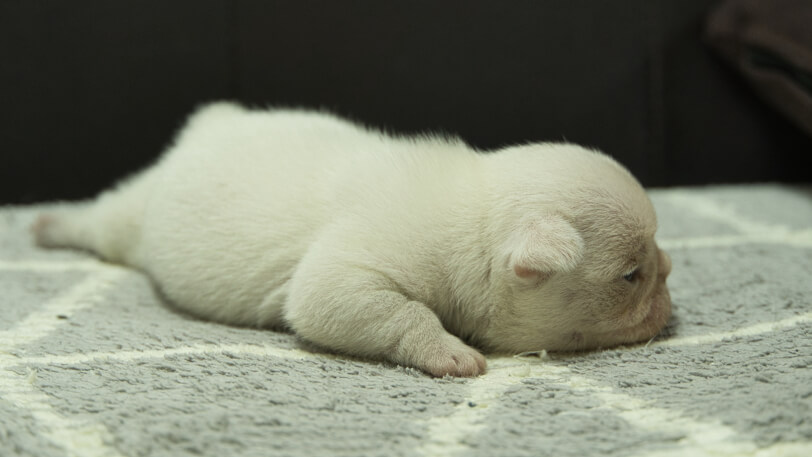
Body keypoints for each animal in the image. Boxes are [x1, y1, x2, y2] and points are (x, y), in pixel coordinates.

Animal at [33, 103, 672, 378]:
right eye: (630, 275)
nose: (668, 272)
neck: (477, 222)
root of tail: (210, 124)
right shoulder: (342, 279)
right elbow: (403, 313)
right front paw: (450, 353)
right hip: (131, 217)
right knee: (99, 220)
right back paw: (49, 226)